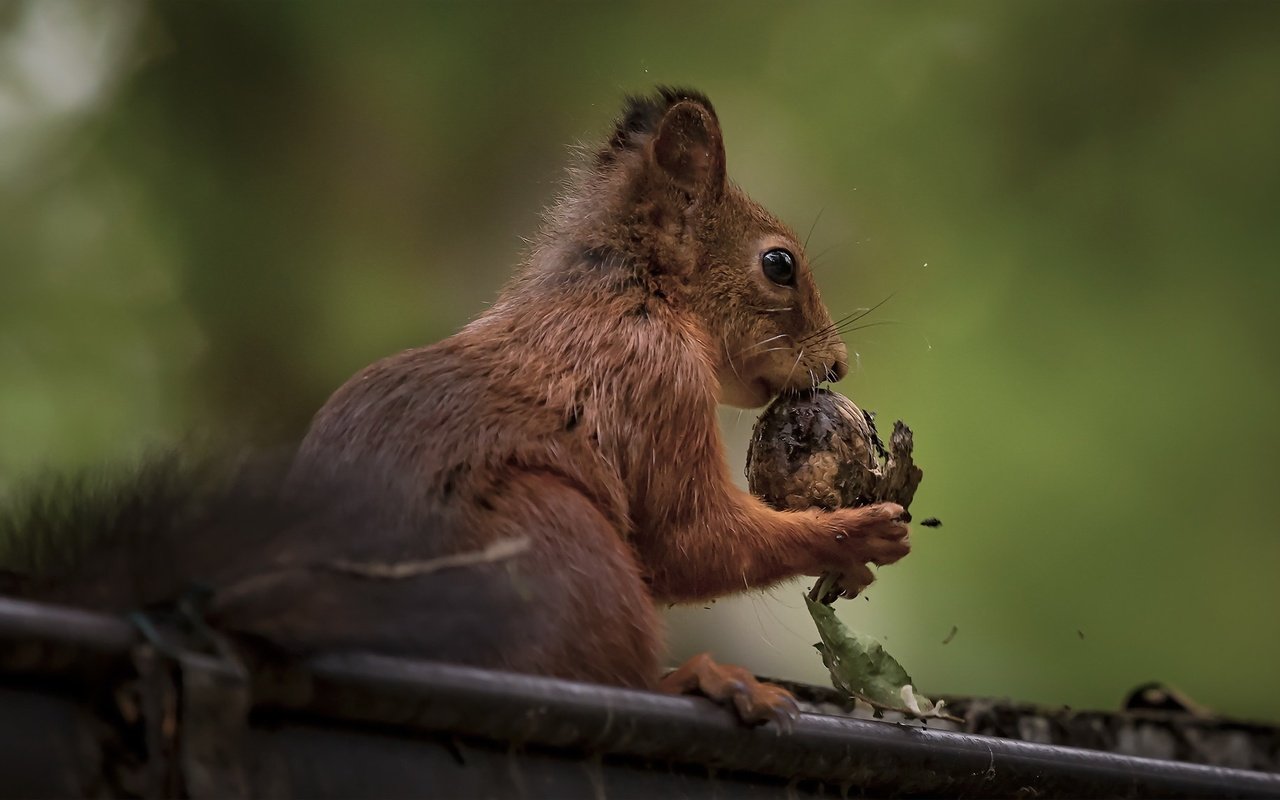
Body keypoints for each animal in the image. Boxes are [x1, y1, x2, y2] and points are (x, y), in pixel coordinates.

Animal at [293, 85, 911, 716]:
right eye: (779, 264)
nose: (836, 364)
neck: (640, 293)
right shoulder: (659, 378)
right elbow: (688, 541)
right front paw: (855, 534)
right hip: (560, 536)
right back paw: (700, 679)